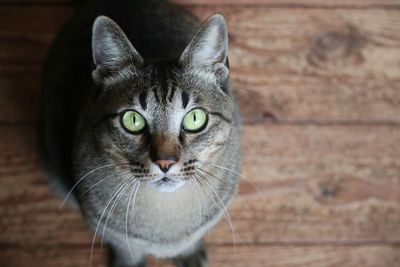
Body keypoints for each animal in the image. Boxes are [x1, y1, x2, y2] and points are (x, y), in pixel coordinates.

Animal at [39, 0, 242, 267]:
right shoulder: (107, 229)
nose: (165, 162)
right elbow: (127, 249)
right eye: (132, 120)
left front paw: (189, 252)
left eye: (195, 118)